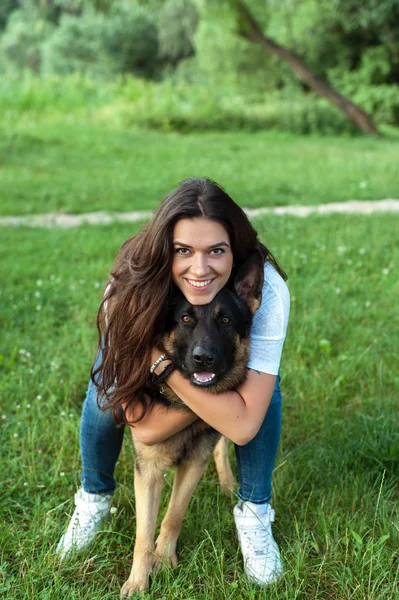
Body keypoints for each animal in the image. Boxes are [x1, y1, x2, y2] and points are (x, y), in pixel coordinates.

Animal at [122, 253, 266, 596]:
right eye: (186, 319)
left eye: (225, 320)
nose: (204, 358)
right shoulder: (148, 471)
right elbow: (143, 534)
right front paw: (138, 580)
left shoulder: (193, 463)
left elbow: (173, 515)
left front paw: (163, 560)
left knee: (221, 446)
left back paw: (227, 483)